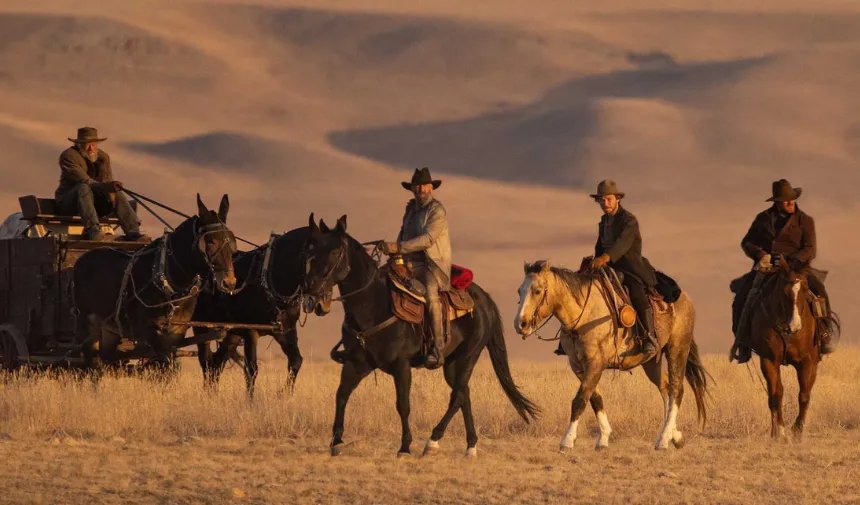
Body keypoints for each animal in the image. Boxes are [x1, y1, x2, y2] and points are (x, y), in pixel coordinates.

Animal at [72, 193, 235, 370]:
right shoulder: (150, 329)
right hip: (89, 323)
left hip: (111, 329)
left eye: (232, 240)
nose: (230, 282)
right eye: (211, 241)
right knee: (91, 359)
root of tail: (81, 260)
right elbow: (166, 360)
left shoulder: (177, 330)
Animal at [193, 225, 310, 394]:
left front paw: (284, 394)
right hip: (201, 326)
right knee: (207, 362)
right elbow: (251, 369)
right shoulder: (250, 331)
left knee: (217, 362)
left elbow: (296, 361)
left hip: (231, 333)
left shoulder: (285, 330)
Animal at [298, 215, 536, 458]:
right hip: (452, 362)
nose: (311, 290)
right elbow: (341, 394)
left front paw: (404, 447)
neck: (373, 305)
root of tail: (485, 300)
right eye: (310, 251)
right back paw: (470, 446)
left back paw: (432, 441)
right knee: (464, 393)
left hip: (468, 355)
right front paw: (336, 441)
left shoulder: (401, 365)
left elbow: (403, 403)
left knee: (457, 395)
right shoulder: (357, 363)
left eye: (335, 251)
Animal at [512, 260, 708, 448]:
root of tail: (685, 299)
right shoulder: (578, 365)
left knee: (676, 390)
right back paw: (675, 436)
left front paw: (567, 440)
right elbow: (595, 398)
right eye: (519, 291)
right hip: (651, 360)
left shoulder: (595, 363)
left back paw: (663, 439)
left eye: (537, 291)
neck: (583, 314)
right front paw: (604, 438)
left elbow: (580, 400)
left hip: (678, 348)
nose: (520, 324)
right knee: (665, 388)